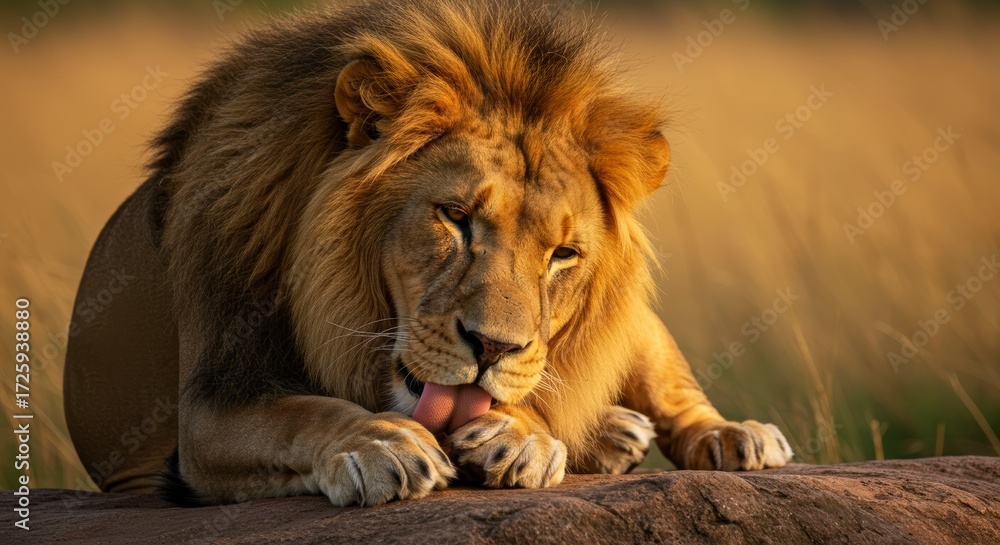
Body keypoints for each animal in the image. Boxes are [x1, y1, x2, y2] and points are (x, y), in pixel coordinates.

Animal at [63, 0, 793, 506]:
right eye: (455, 218)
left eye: (562, 254)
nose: (493, 347)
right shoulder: (211, 403)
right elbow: (300, 411)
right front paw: (380, 443)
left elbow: (535, 390)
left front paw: (518, 435)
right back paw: (613, 434)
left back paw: (731, 435)